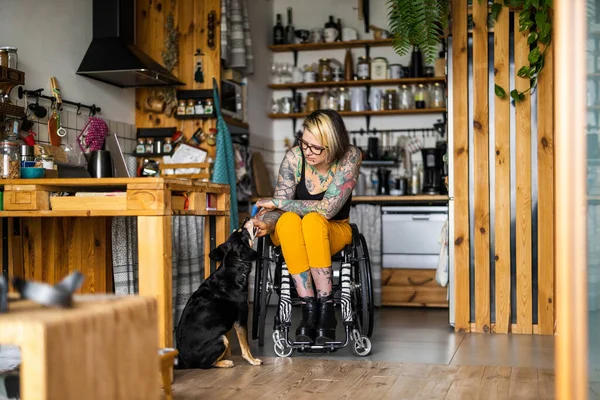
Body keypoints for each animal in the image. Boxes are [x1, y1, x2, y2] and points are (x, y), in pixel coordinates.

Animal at [177, 219, 264, 368]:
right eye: (243, 231)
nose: (246, 219)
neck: (234, 265)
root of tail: (182, 361)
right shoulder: (241, 320)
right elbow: (245, 346)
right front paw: (252, 360)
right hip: (222, 339)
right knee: (205, 364)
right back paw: (225, 362)